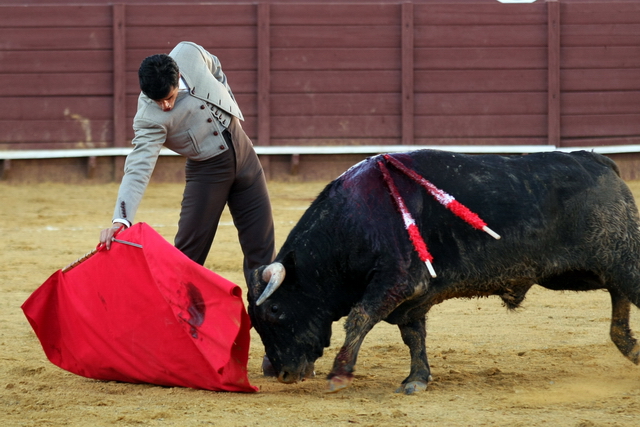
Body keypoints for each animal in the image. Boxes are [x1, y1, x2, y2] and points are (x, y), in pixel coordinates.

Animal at [246, 150, 640, 394]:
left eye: (276, 310)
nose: (283, 374)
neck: (353, 220)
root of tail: (601, 162)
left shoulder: (398, 282)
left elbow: (359, 317)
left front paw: (340, 374)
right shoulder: (412, 297)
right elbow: (413, 336)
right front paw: (417, 379)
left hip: (620, 257)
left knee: (626, 286)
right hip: (580, 273)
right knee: (616, 293)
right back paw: (629, 346)